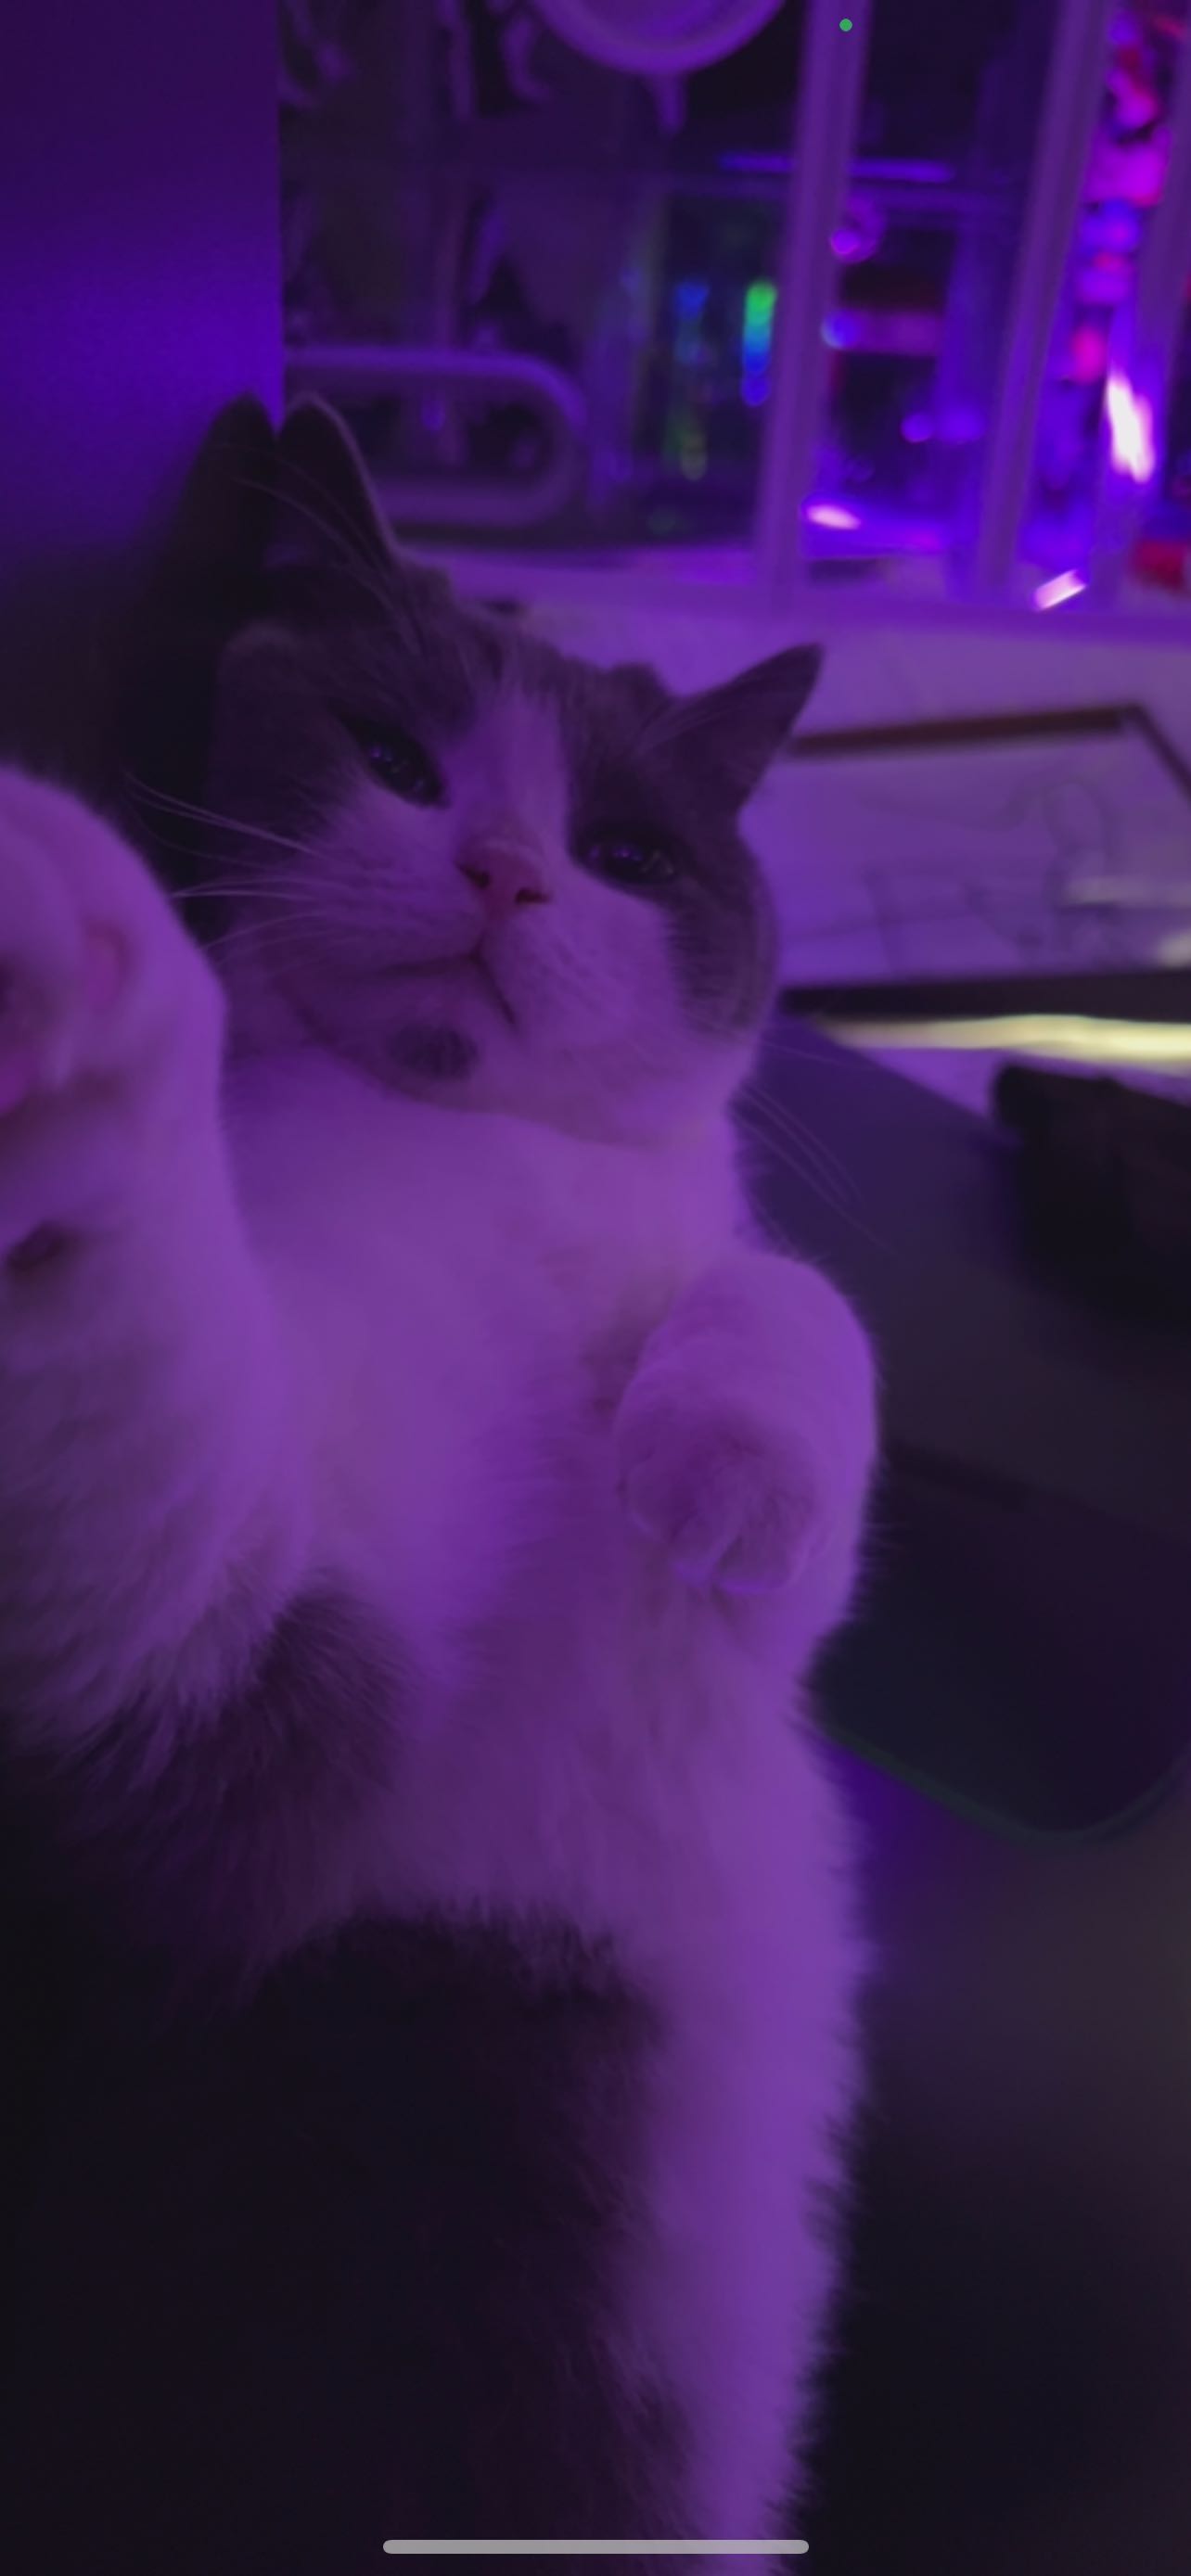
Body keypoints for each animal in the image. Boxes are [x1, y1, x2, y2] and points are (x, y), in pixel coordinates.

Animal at [0, 399, 876, 2568]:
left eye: (628, 855)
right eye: (393, 760)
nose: (499, 868)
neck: (485, 1156)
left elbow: (796, 1305)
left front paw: (725, 1470)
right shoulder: (236, 1709)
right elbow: (150, 1412)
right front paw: (78, 967)